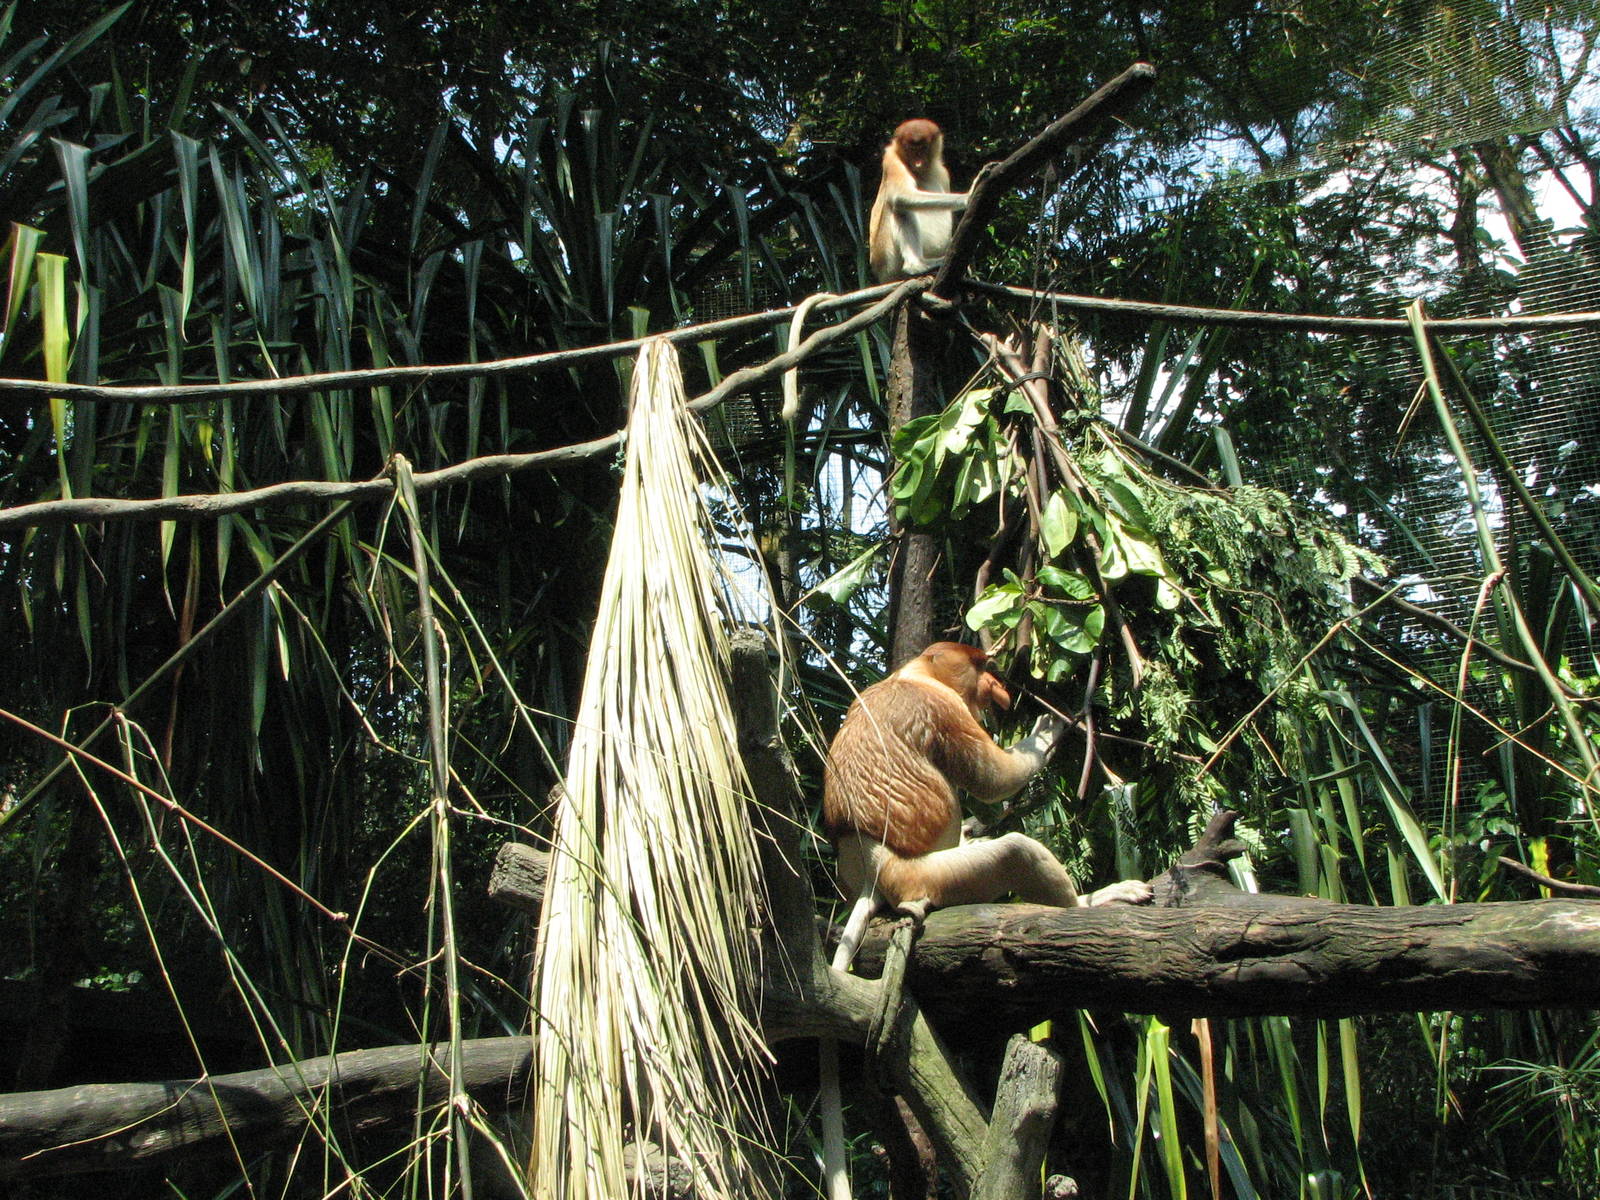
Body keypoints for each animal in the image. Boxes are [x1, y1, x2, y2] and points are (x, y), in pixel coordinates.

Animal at [816, 641, 1152, 1200]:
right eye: (983, 668)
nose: (1000, 689)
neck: (916, 675)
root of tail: (871, 866)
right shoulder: (946, 712)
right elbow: (995, 779)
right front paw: (1047, 732)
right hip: (929, 875)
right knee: (1014, 851)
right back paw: (1092, 902)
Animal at [868, 118, 971, 283]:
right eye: (911, 149)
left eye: (923, 148)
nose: (918, 162)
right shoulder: (892, 160)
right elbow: (901, 195)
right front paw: (968, 195)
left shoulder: (944, 173)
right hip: (887, 261)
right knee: (900, 208)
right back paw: (917, 266)